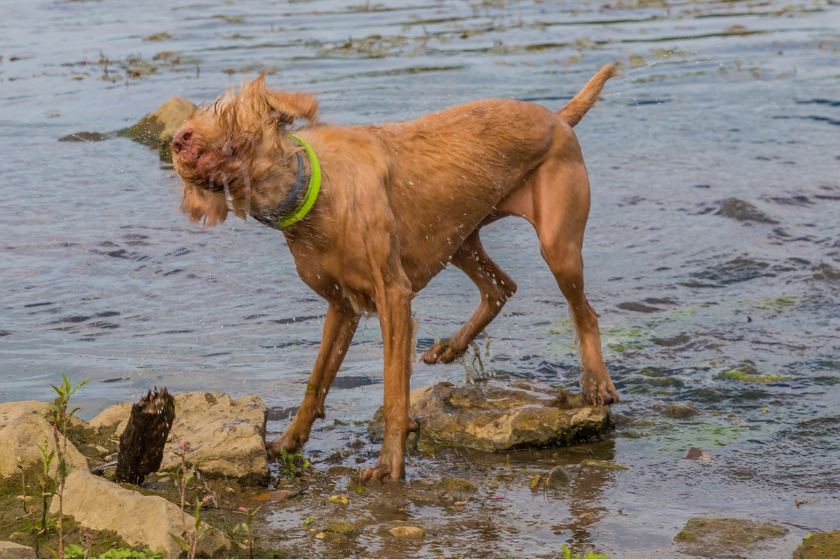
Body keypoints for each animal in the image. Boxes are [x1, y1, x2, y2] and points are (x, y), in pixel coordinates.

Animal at [171, 66, 620, 482]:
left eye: (228, 113)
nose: (178, 139)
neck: (313, 188)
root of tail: (558, 116)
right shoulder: (342, 307)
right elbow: (317, 380)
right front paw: (287, 442)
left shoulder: (393, 295)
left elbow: (392, 391)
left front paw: (389, 465)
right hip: (459, 237)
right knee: (500, 287)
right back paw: (453, 346)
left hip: (557, 245)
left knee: (583, 312)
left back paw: (595, 382)